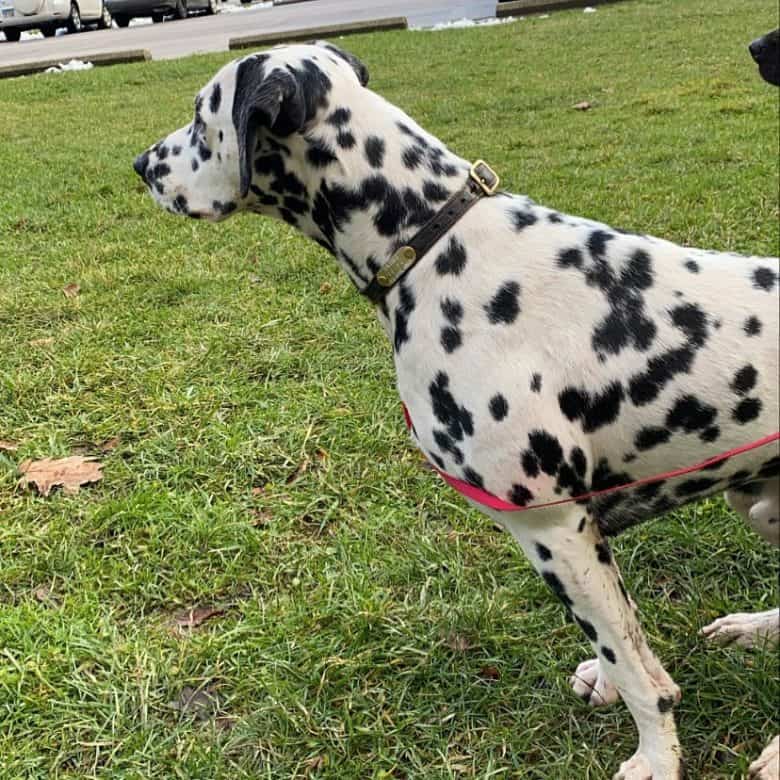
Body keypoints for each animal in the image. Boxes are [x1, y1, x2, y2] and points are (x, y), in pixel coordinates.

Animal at [136, 44, 780, 780]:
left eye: (199, 115)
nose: (141, 165)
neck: (433, 246)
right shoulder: (583, 535)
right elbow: (627, 643)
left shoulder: (553, 529)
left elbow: (641, 675)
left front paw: (655, 757)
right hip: (758, 503)